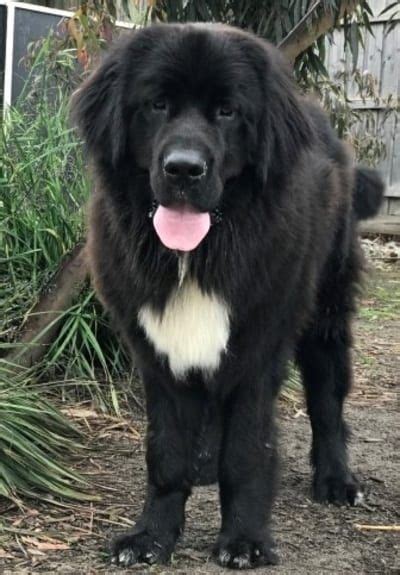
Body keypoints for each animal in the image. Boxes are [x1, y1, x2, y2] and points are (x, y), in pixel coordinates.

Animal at [74, 23, 384, 572]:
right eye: (157, 105)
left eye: (227, 111)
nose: (183, 169)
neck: (199, 255)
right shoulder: (158, 351)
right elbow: (166, 451)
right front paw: (152, 535)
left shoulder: (258, 349)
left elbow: (246, 452)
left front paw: (244, 539)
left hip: (325, 317)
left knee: (327, 404)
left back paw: (336, 479)